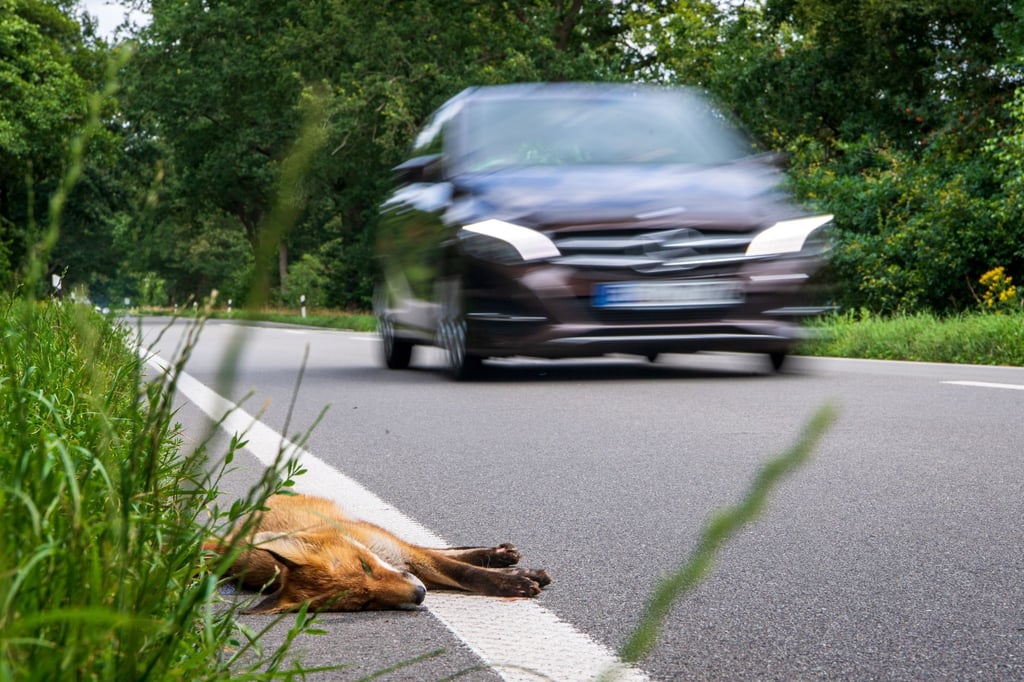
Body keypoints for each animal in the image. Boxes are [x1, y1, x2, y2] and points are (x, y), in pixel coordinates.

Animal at [203, 493, 552, 613]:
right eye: (364, 603)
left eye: (365, 566)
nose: (420, 594)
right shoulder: (413, 567)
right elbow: (465, 573)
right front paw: (517, 578)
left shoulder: (406, 555)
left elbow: (465, 572)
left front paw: (516, 580)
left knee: (443, 549)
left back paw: (503, 555)